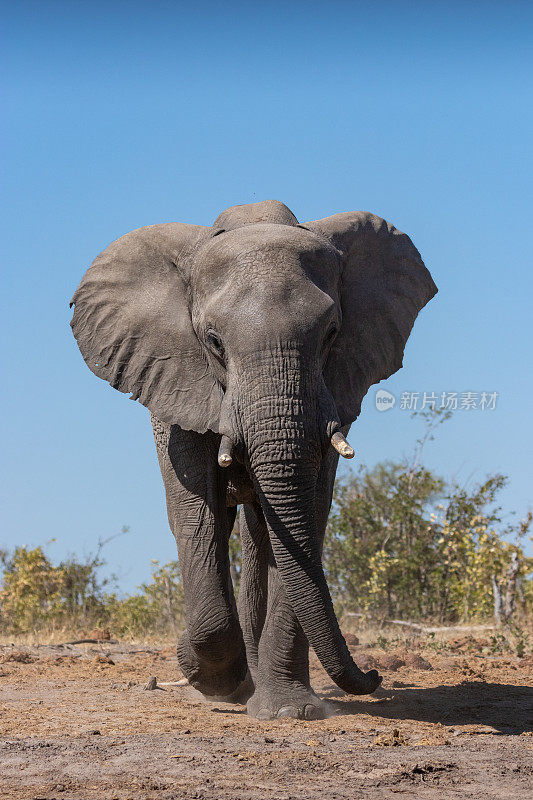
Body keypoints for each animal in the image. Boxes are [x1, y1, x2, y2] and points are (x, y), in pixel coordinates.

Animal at [69, 198, 436, 720]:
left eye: (332, 333)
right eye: (213, 341)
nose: (374, 675)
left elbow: (309, 513)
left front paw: (288, 711)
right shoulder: (179, 384)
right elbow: (196, 513)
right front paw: (212, 677)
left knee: (263, 531)